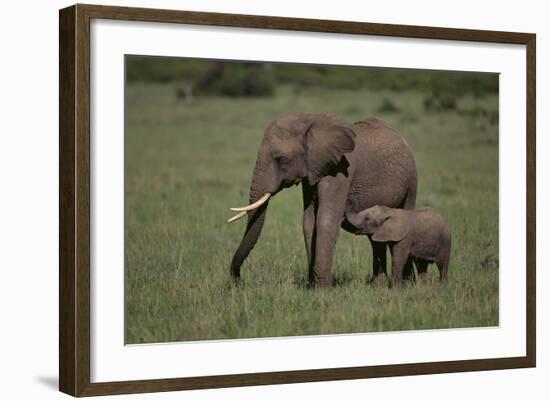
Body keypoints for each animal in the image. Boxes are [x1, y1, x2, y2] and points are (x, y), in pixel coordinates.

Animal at [229, 112, 418, 288]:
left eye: (281, 159)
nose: (238, 283)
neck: (308, 122)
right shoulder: (312, 172)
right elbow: (308, 223)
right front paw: (310, 286)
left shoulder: (339, 170)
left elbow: (326, 221)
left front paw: (322, 289)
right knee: (375, 238)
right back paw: (378, 285)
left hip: (412, 182)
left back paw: (405, 283)